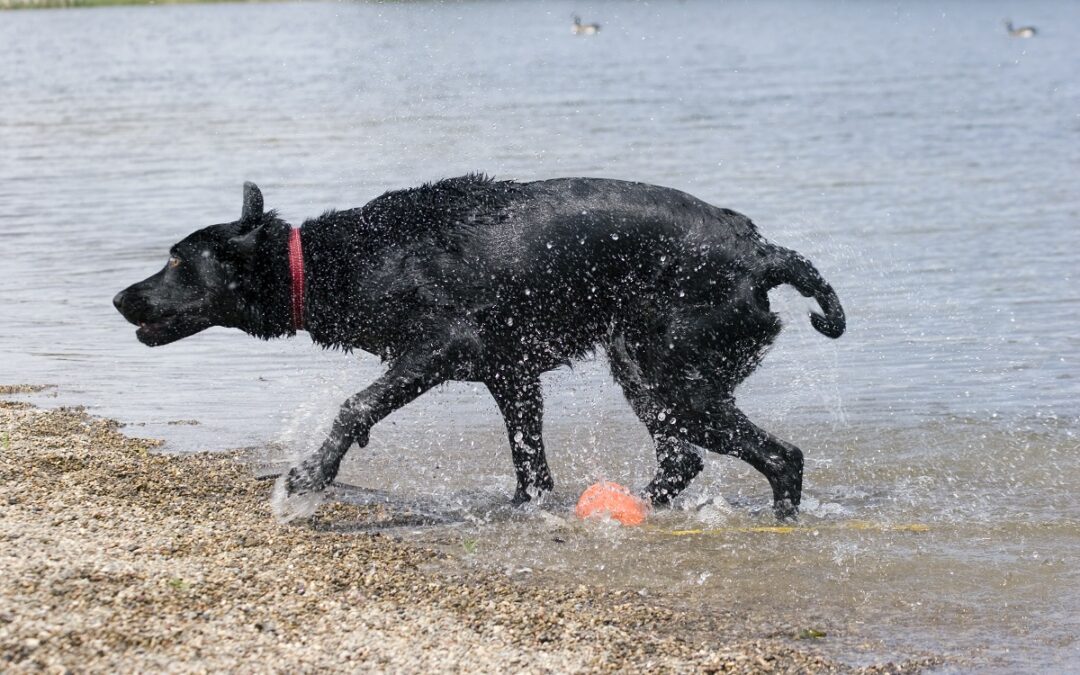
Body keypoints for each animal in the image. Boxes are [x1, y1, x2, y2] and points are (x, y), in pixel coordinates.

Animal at [116, 174, 842, 520]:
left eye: (177, 262)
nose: (122, 298)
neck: (347, 257)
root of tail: (761, 252)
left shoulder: (438, 347)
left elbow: (356, 407)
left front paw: (309, 476)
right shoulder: (513, 376)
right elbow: (531, 468)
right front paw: (528, 509)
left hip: (674, 376)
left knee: (781, 457)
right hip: (649, 377)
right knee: (684, 459)